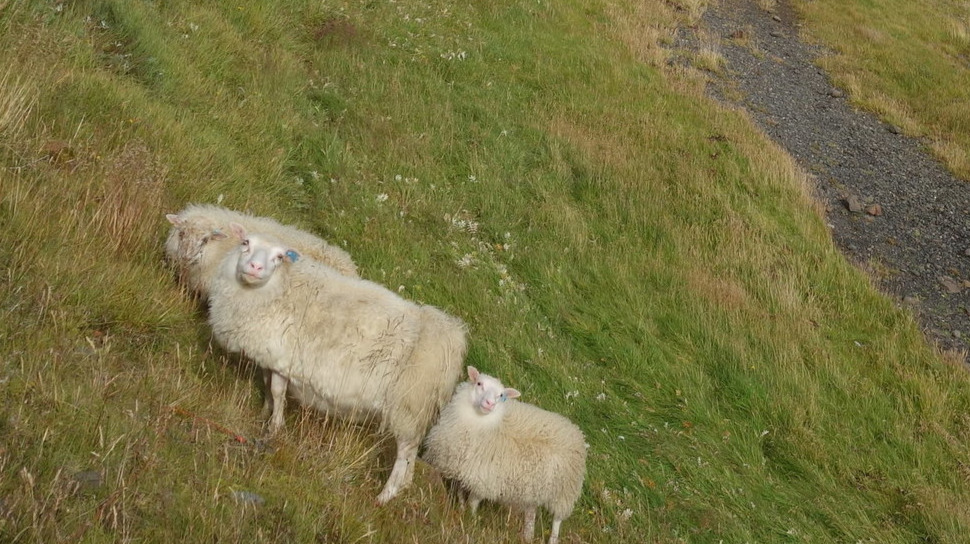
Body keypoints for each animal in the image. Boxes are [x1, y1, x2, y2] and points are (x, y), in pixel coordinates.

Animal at [206, 223, 468, 504]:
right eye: (245, 243)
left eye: (279, 256)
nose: (255, 267)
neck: (279, 287)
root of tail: (448, 338)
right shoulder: (270, 354)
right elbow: (267, 386)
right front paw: (264, 413)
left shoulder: (283, 360)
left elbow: (277, 392)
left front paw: (275, 427)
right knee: (409, 457)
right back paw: (403, 488)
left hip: (408, 405)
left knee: (404, 454)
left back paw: (385, 496)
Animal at [422, 366, 587, 544]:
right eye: (479, 383)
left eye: (501, 396)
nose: (490, 404)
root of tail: (575, 431)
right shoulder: (461, 470)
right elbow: (460, 493)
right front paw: (460, 509)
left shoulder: (484, 479)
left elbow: (473, 501)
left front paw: (470, 519)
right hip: (536, 486)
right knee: (531, 513)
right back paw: (527, 536)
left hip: (564, 492)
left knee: (557, 520)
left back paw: (552, 539)